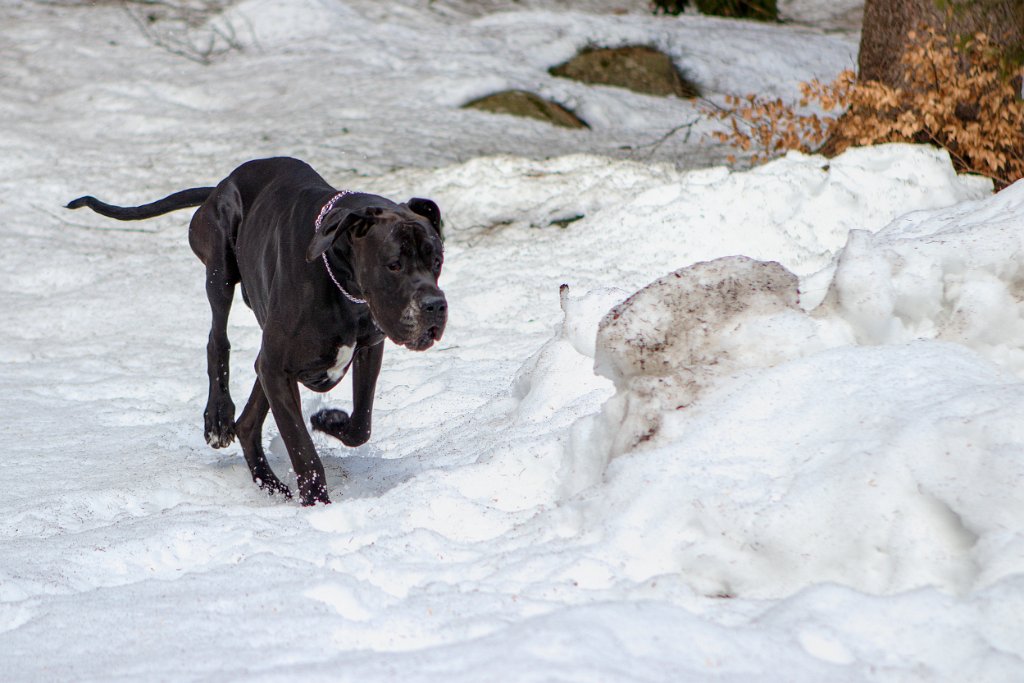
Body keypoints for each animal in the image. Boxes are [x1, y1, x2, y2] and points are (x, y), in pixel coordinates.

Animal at [68, 157, 444, 505]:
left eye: (437, 260)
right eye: (393, 264)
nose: (435, 305)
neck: (341, 279)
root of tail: (221, 184)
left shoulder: (367, 348)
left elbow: (361, 424)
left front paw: (330, 421)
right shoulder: (277, 369)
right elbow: (302, 449)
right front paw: (317, 503)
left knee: (248, 423)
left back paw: (271, 483)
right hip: (220, 267)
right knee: (217, 341)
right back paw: (218, 419)